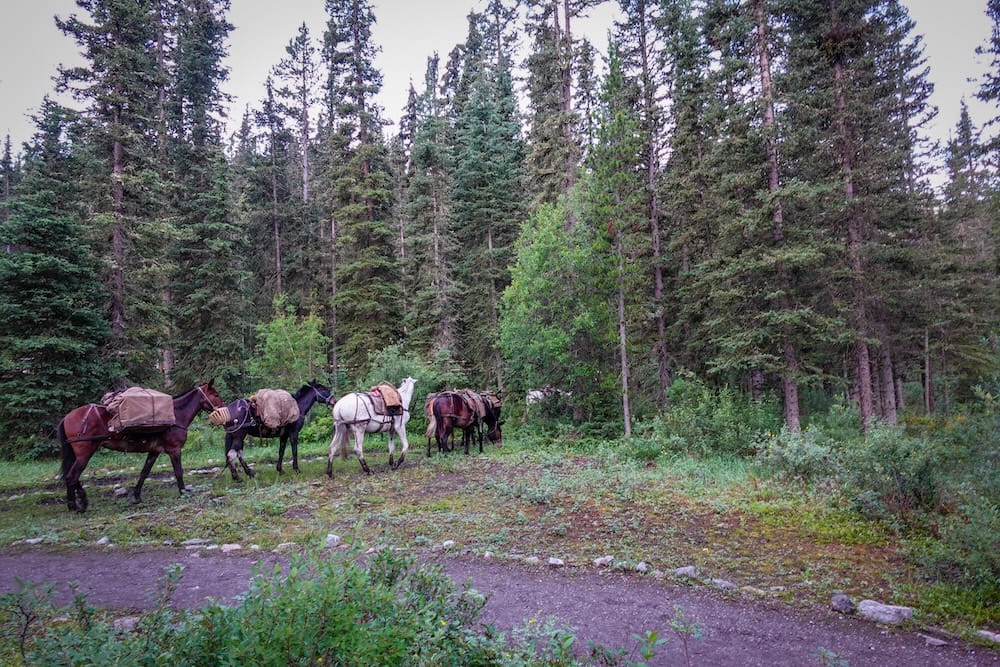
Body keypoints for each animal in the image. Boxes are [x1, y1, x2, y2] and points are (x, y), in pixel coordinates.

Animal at [56, 381, 225, 512]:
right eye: (216, 394)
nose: (224, 408)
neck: (176, 415)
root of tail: (66, 417)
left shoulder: (154, 452)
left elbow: (144, 473)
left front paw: (137, 496)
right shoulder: (174, 450)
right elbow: (178, 472)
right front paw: (183, 493)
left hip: (79, 455)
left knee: (70, 477)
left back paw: (74, 504)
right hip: (85, 453)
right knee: (72, 476)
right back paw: (79, 504)